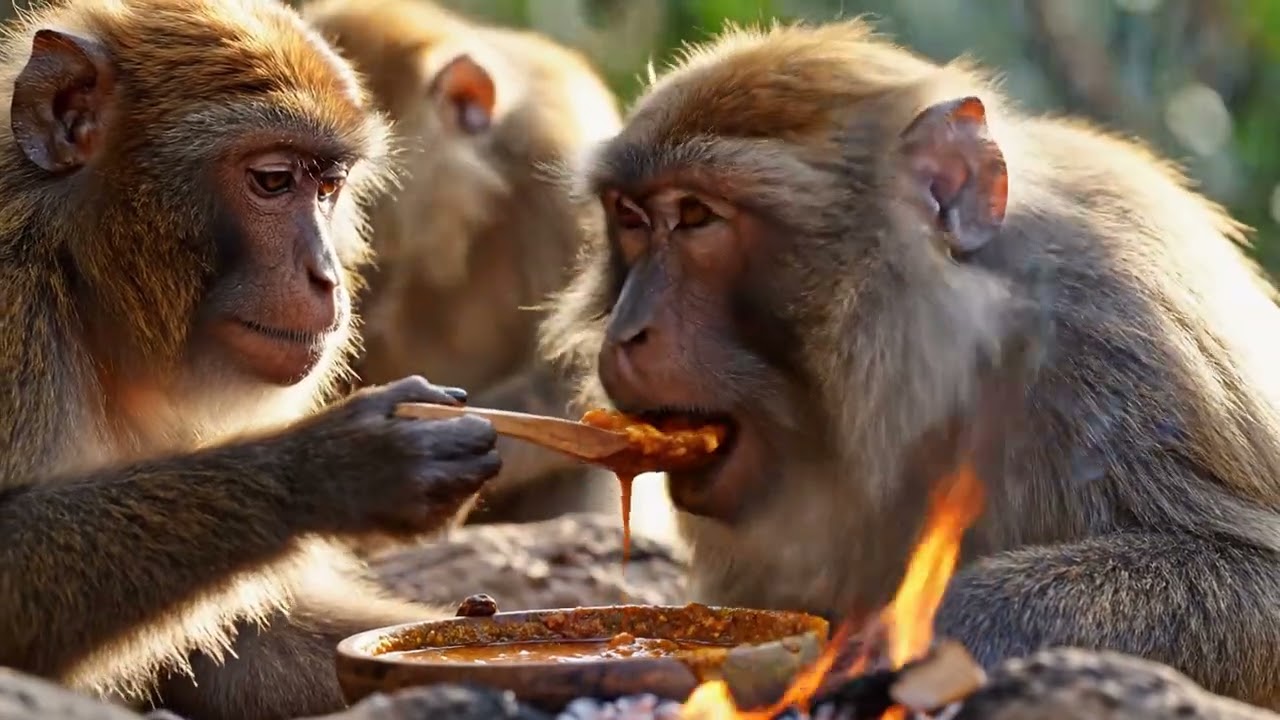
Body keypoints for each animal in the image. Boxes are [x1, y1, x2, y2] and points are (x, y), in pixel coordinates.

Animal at [0, 1, 504, 719]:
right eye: (272, 181)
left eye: (328, 187)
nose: (327, 277)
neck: (70, 260)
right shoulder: (13, 298)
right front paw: (335, 465)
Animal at [540, 19, 1280, 710]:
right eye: (630, 218)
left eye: (696, 216)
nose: (627, 331)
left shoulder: (1120, 345)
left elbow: (1259, 584)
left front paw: (939, 627)